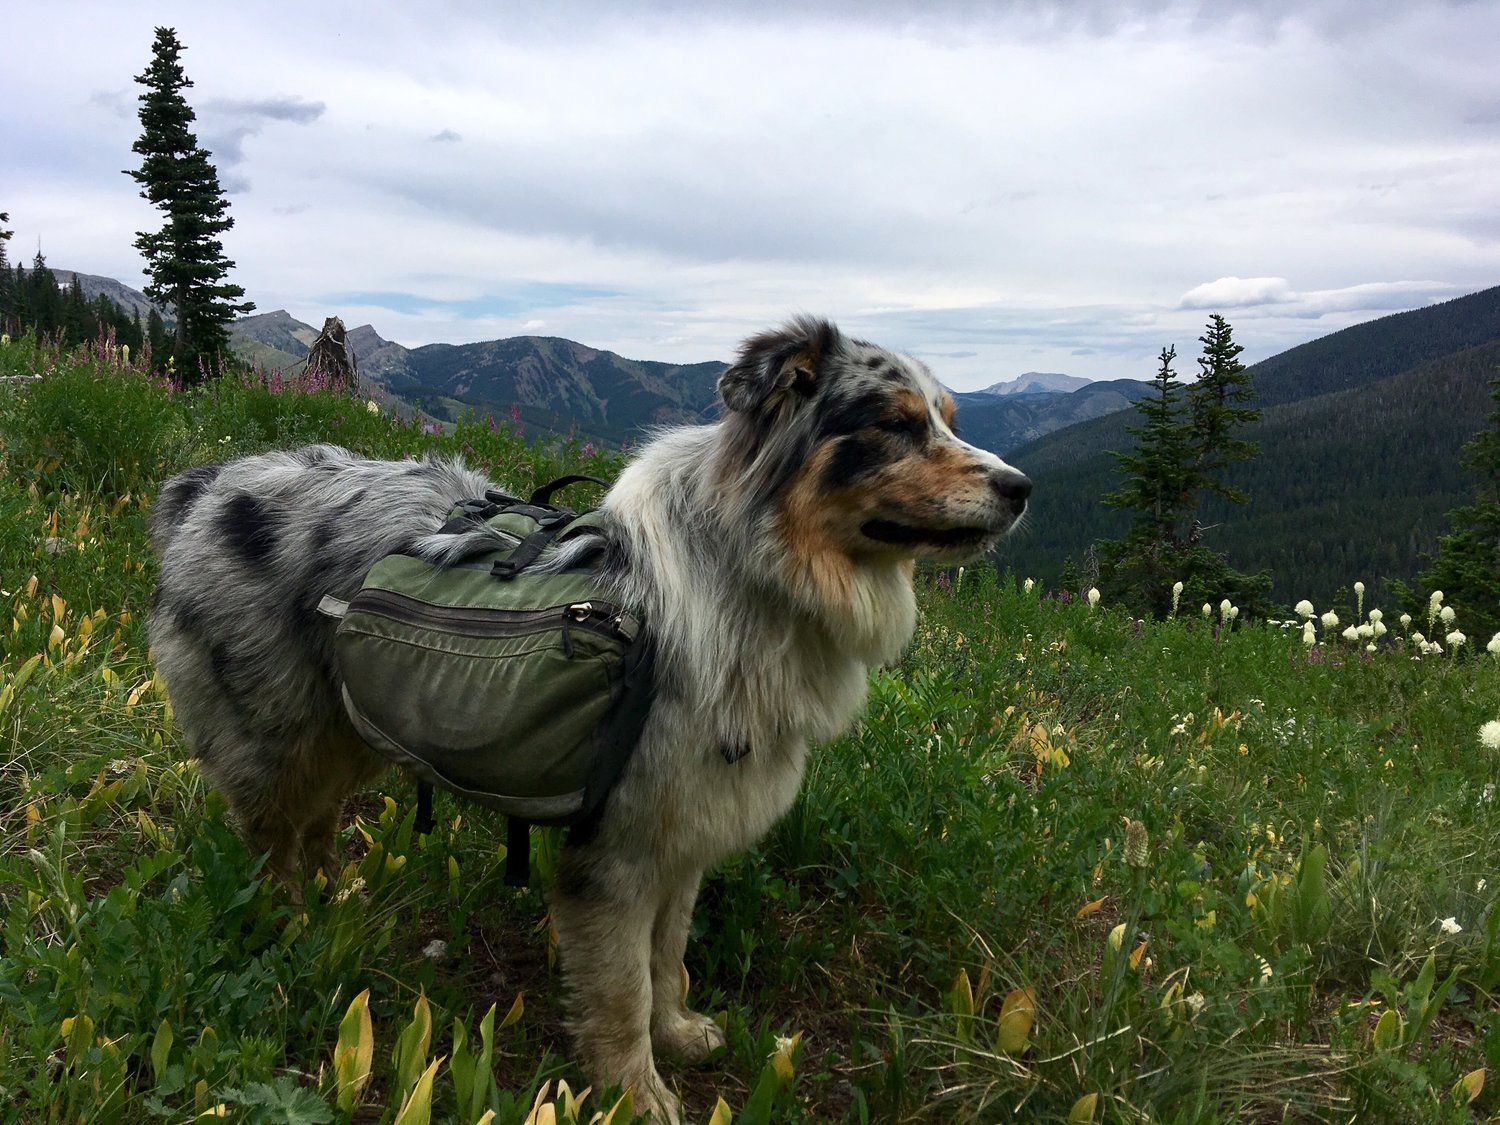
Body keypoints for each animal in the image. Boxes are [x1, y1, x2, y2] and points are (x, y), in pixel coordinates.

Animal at [146, 319, 1032, 1125]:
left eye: (949, 417)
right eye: (894, 423)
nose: (1021, 486)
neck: (750, 579)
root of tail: (210, 481)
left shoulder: (684, 830)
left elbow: (668, 956)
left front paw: (677, 1032)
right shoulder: (617, 853)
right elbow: (622, 988)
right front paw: (635, 1093)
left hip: (348, 722)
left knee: (319, 816)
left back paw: (336, 895)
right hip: (276, 732)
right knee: (273, 837)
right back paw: (294, 920)